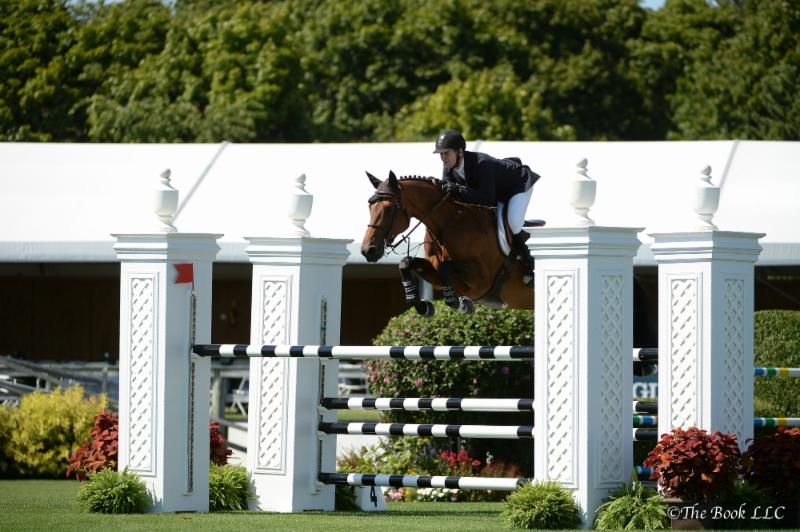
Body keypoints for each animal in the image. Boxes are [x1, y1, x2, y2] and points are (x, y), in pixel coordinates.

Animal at [360, 171, 536, 316]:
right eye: (369, 207)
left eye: (389, 208)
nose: (368, 251)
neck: (449, 225)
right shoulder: (438, 273)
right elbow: (405, 263)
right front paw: (422, 305)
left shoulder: (482, 280)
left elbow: (446, 269)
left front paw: (461, 304)